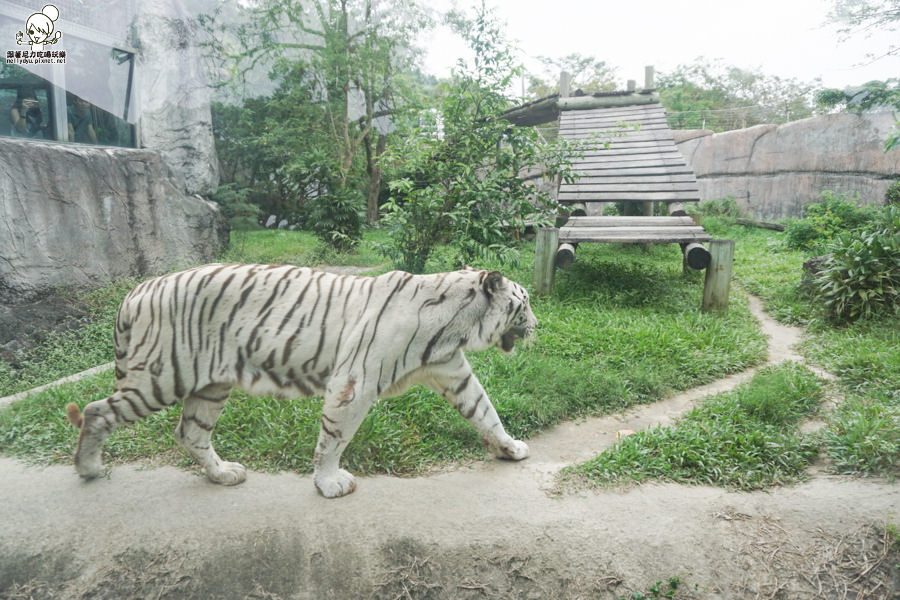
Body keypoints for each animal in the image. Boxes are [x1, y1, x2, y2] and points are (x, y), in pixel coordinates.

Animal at [68, 264, 540, 496]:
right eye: (526, 303)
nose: (538, 325)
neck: (457, 325)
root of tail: (135, 291)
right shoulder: (353, 382)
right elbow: (334, 438)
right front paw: (330, 483)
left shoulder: (451, 371)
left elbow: (485, 411)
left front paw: (511, 448)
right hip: (162, 376)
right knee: (97, 410)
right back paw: (88, 468)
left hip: (210, 386)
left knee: (190, 433)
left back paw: (223, 475)